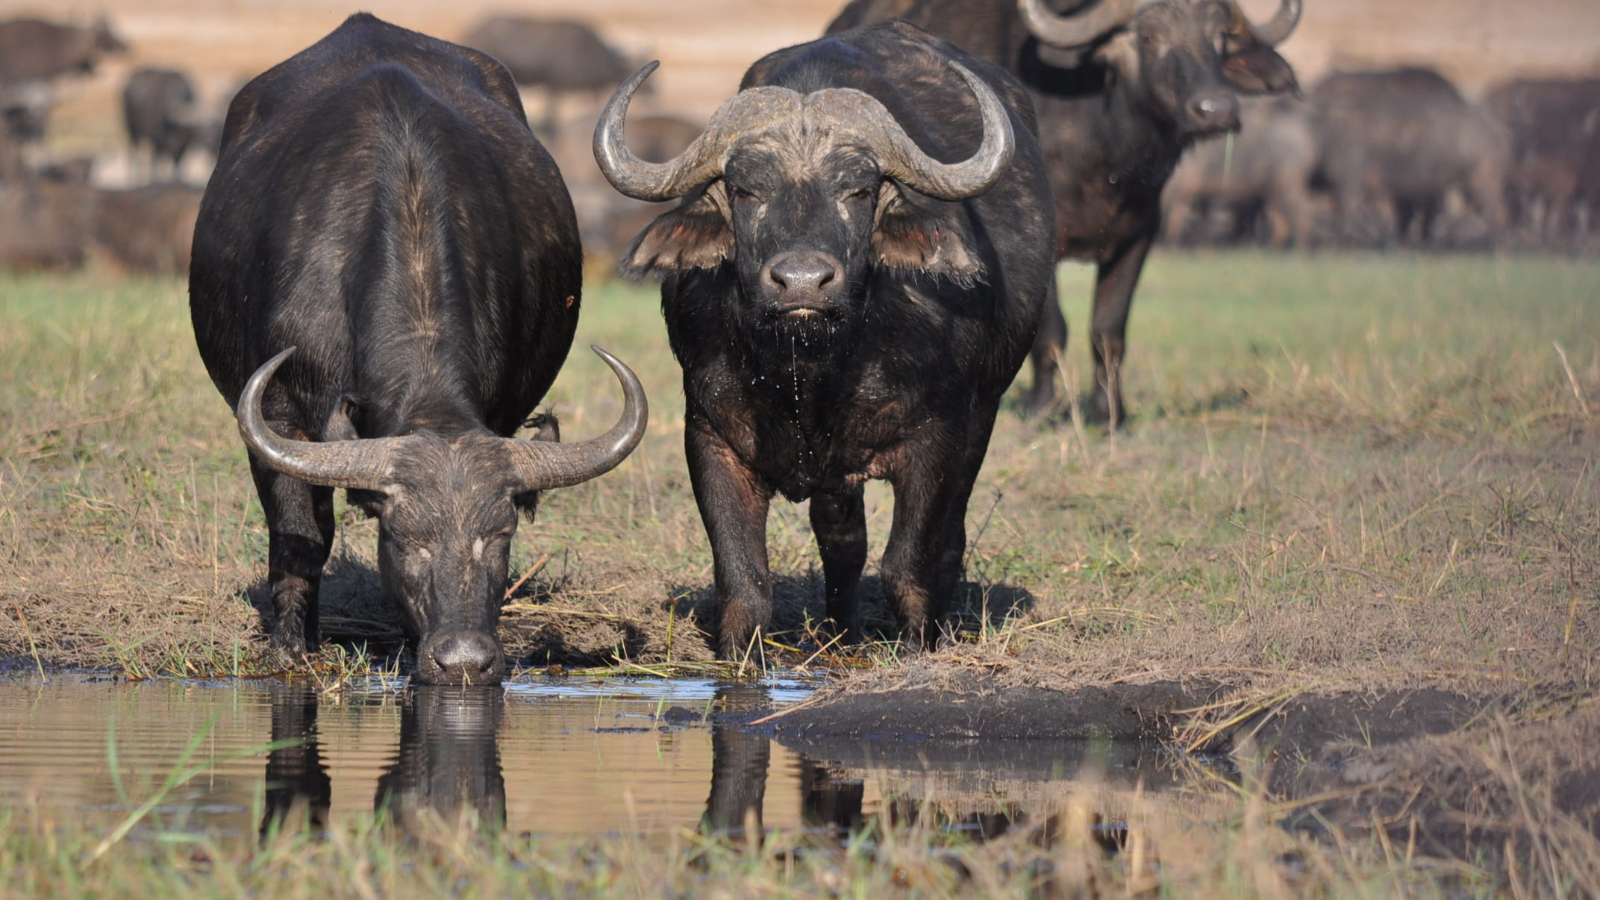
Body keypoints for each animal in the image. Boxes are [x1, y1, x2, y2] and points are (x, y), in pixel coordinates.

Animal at [195, 14, 649, 682]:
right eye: (405, 538)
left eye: (500, 535)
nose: (465, 658)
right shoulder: (277, 417)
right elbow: (301, 536)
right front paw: (291, 646)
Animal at [595, 22, 1056, 650]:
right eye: (744, 189)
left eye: (859, 190)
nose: (802, 282)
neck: (812, 367)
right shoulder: (710, 436)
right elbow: (743, 580)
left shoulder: (940, 435)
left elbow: (909, 564)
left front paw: (919, 645)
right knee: (842, 539)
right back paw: (841, 632)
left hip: (984, 412)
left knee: (946, 537)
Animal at [832, 0, 1305, 422]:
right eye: (1150, 37)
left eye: (1220, 39)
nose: (1216, 109)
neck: (1103, 146)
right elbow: (1050, 331)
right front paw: (1044, 407)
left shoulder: (1140, 233)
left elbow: (1108, 330)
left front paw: (1108, 412)